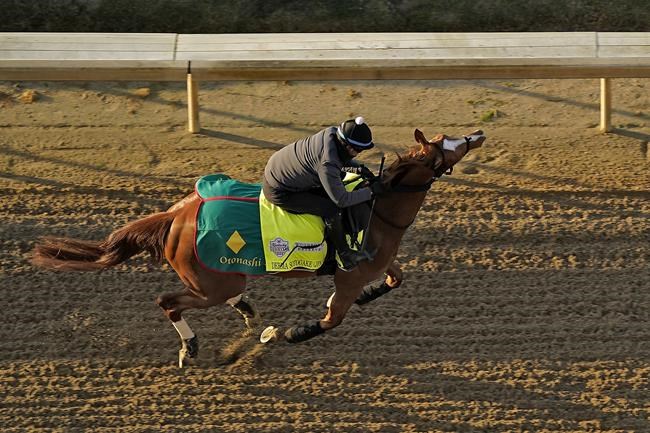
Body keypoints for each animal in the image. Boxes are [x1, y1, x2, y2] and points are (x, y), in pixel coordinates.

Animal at [32, 128, 486, 367]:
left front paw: (370, 296)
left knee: (229, 294)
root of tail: (176, 216)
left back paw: (249, 314)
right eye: (445, 146)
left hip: (220, 277)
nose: (477, 134)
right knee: (169, 302)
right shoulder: (348, 276)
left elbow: (395, 278)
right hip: (209, 284)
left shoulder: (377, 264)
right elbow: (330, 319)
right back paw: (191, 347)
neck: (377, 211)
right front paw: (290, 333)